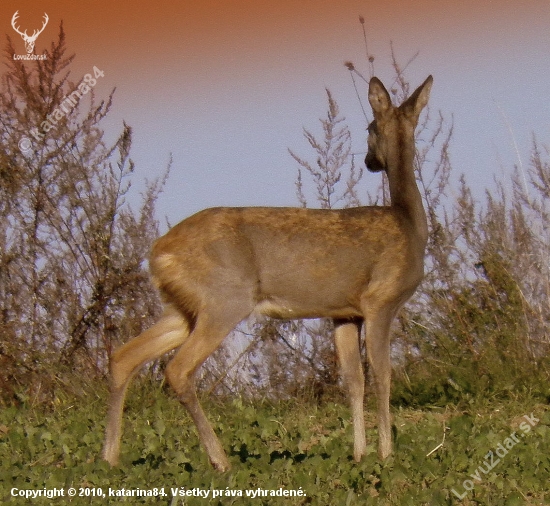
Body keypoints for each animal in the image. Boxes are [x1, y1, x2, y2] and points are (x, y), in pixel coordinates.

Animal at [101, 74, 434, 470]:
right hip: (225, 299)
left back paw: (108, 457)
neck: (408, 223)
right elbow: (382, 374)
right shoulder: (381, 300)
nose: (370, 162)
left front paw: (359, 454)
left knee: (123, 357)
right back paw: (220, 460)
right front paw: (386, 454)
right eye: (369, 127)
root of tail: (157, 252)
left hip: (182, 308)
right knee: (178, 370)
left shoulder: (344, 312)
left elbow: (353, 379)